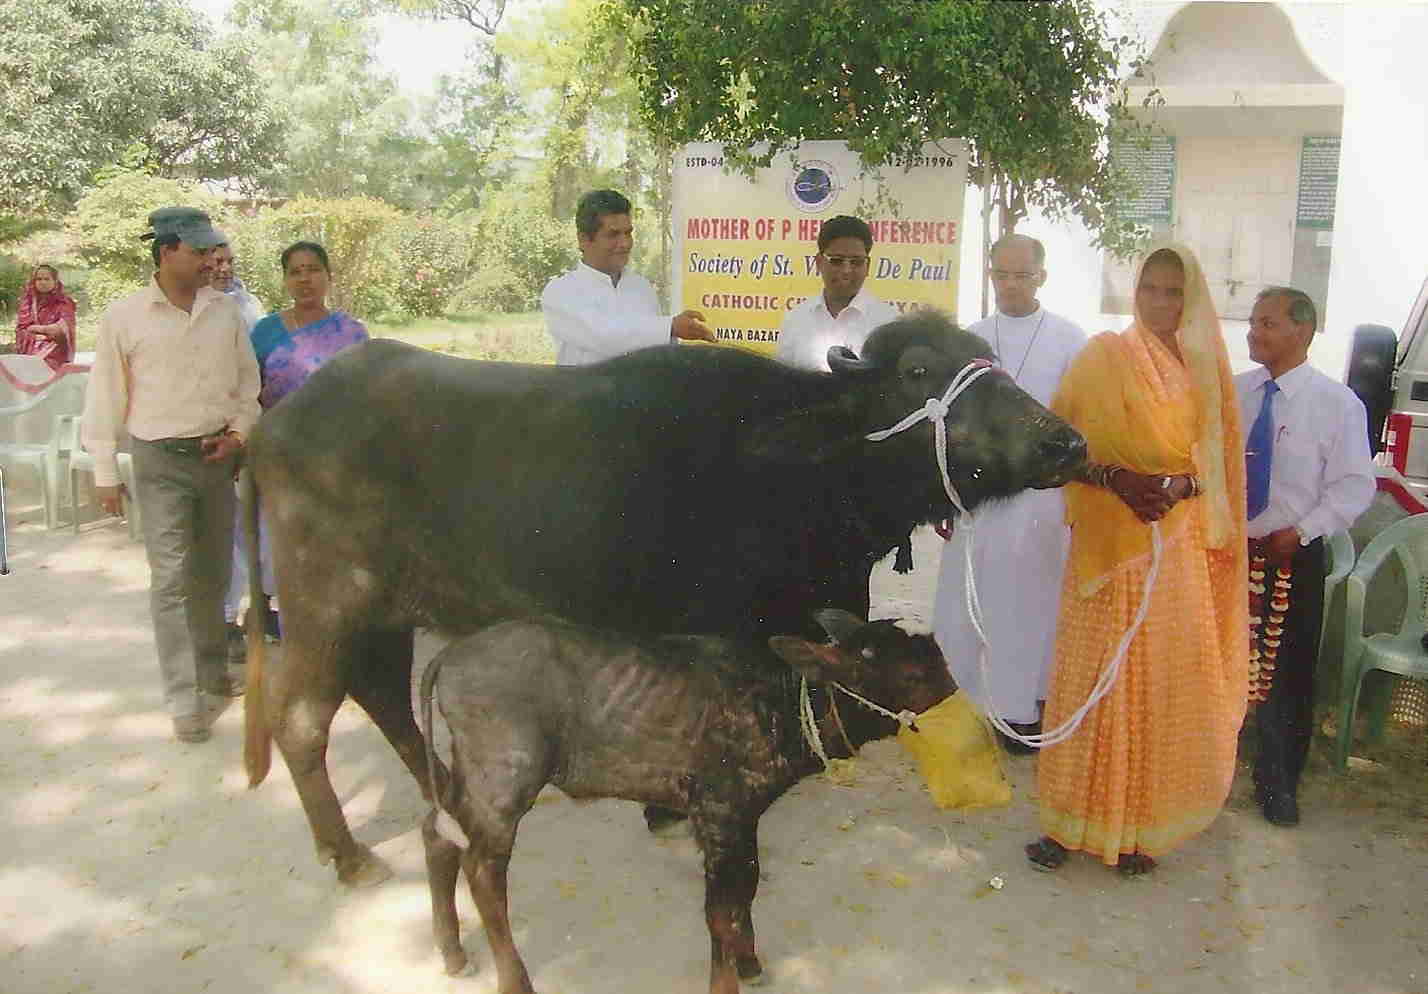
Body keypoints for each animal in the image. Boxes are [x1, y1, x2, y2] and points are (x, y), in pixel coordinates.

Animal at [239, 312, 1079, 885]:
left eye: (987, 357)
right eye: (916, 370)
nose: (1063, 442)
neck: (790, 467)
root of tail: (272, 427)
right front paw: (668, 811)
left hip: (385, 610)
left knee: (382, 693)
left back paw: (439, 792)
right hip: (323, 604)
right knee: (302, 718)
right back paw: (349, 855)